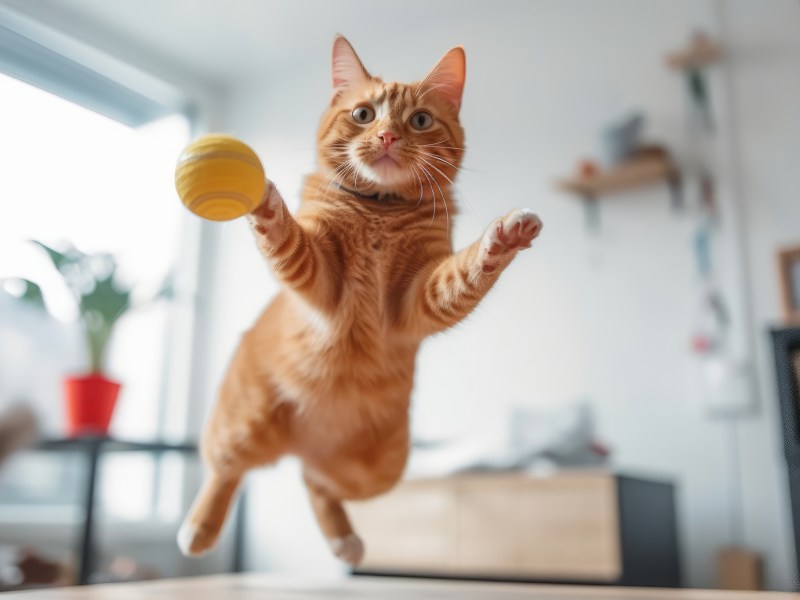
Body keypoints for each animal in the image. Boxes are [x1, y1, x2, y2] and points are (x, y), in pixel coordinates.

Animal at [180, 35, 544, 564]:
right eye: (364, 114)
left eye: (419, 120)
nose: (388, 136)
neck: (380, 211)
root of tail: (303, 445)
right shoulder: (316, 273)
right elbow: (285, 234)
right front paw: (263, 200)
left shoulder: (421, 297)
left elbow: (467, 269)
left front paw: (504, 237)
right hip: (241, 424)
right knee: (226, 470)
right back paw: (199, 530)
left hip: (376, 474)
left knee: (315, 482)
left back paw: (343, 540)